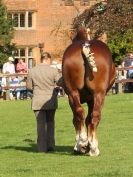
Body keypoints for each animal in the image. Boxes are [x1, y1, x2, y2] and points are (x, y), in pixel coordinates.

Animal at [62, 28, 115, 156]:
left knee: (80, 113)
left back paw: (83, 143)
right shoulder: (92, 99)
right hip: (98, 94)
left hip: (73, 93)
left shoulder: (78, 97)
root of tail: (85, 45)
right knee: (92, 116)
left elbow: (82, 119)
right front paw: (87, 144)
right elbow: (87, 119)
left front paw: (84, 144)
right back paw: (91, 147)